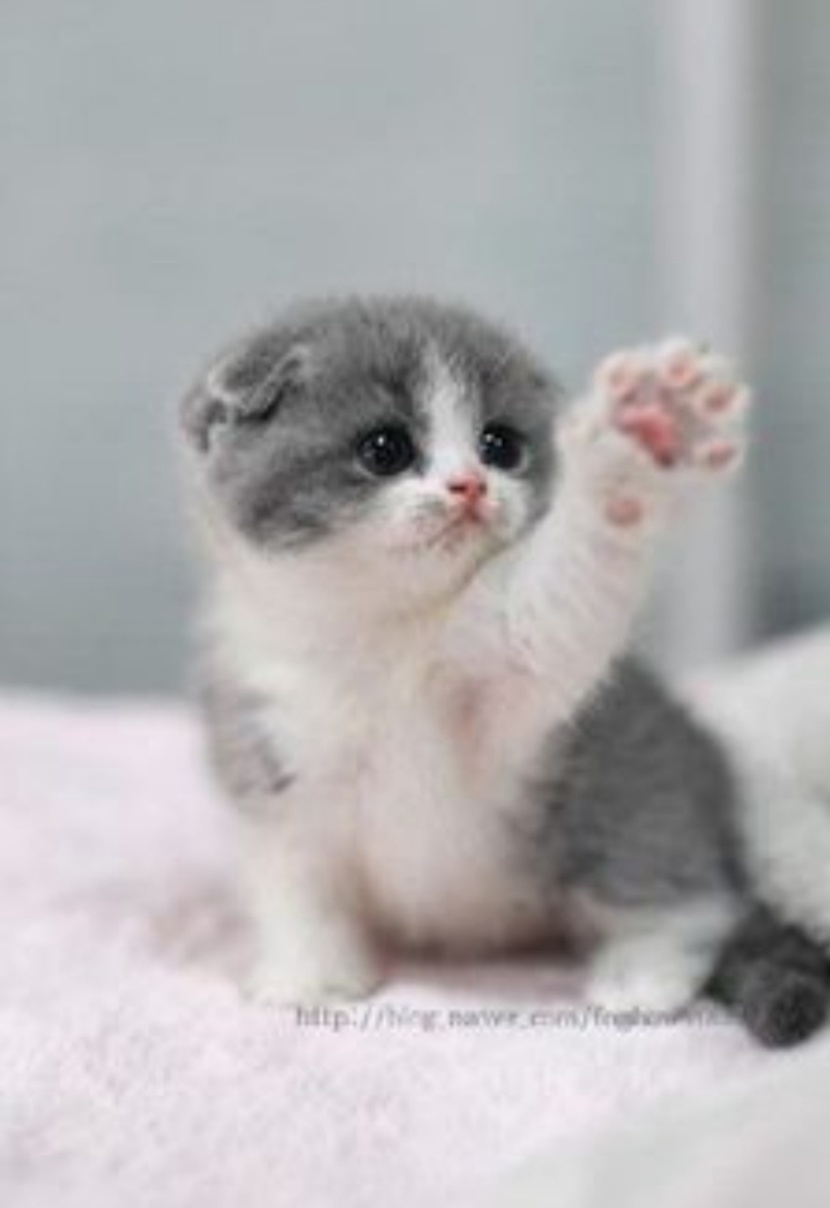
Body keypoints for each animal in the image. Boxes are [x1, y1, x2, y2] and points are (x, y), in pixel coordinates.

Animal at [178, 296, 829, 1046]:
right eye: (384, 448)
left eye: (500, 445)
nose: (469, 486)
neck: (386, 634)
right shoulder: (270, 755)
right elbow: (296, 883)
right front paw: (311, 978)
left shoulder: (508, 681)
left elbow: (557, 603)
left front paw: (645, 435)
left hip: (629, 788)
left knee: (686, 889)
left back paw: (643, 975)